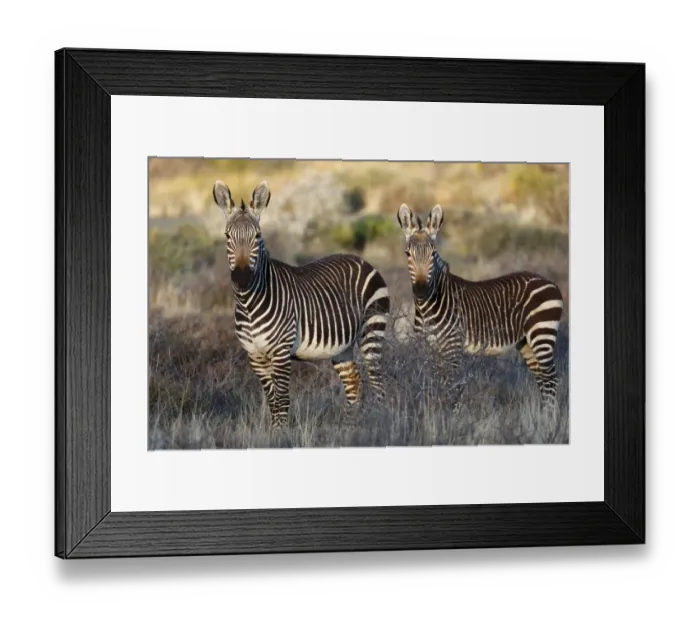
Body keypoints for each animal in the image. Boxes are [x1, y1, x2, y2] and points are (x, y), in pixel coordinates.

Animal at [214, 179, 390, 432]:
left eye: (257, 236)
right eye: (227, 236)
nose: (242, 279)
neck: (249, 305)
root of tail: (362, 260)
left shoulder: (280, 352)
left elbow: (282, 398)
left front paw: (281, 435)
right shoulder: (255, 355)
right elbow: (272, 400)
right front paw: (273, 433)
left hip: (371, 330)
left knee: (378, 381)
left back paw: (379, 423)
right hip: (342, 346)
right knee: (354, 383)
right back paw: (349, 428)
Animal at [397, 203, 564, 414]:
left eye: (433, 254)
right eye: (407, 254)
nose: (421, 290)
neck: (427, 307)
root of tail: (550, 282)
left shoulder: (452, 349)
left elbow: (450, 388)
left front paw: (448, 418)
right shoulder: (429, 349)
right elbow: (433, 385)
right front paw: (434, 414)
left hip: (542, 333)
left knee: (551, 379)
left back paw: (549, 418)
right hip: (526, 342)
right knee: (543, 379)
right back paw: (542, 416)